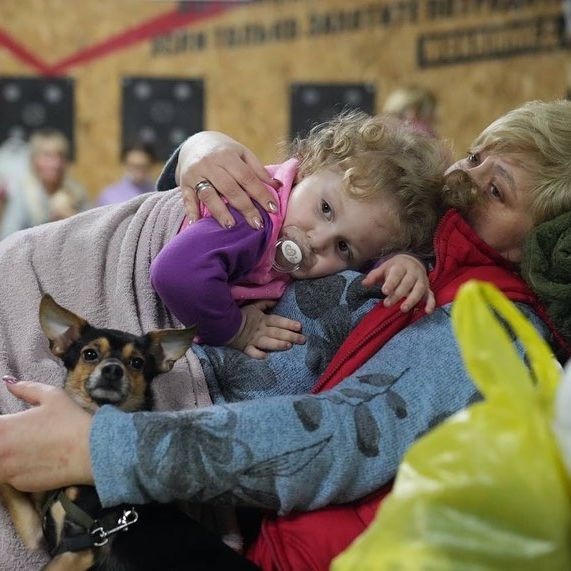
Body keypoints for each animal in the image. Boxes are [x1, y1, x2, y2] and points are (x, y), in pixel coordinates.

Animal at [0, 294, 255, 571]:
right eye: (90, 354)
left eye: (136, 363)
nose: (113, 369)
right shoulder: (37, 533)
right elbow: (9, 487)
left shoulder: (79, 548)